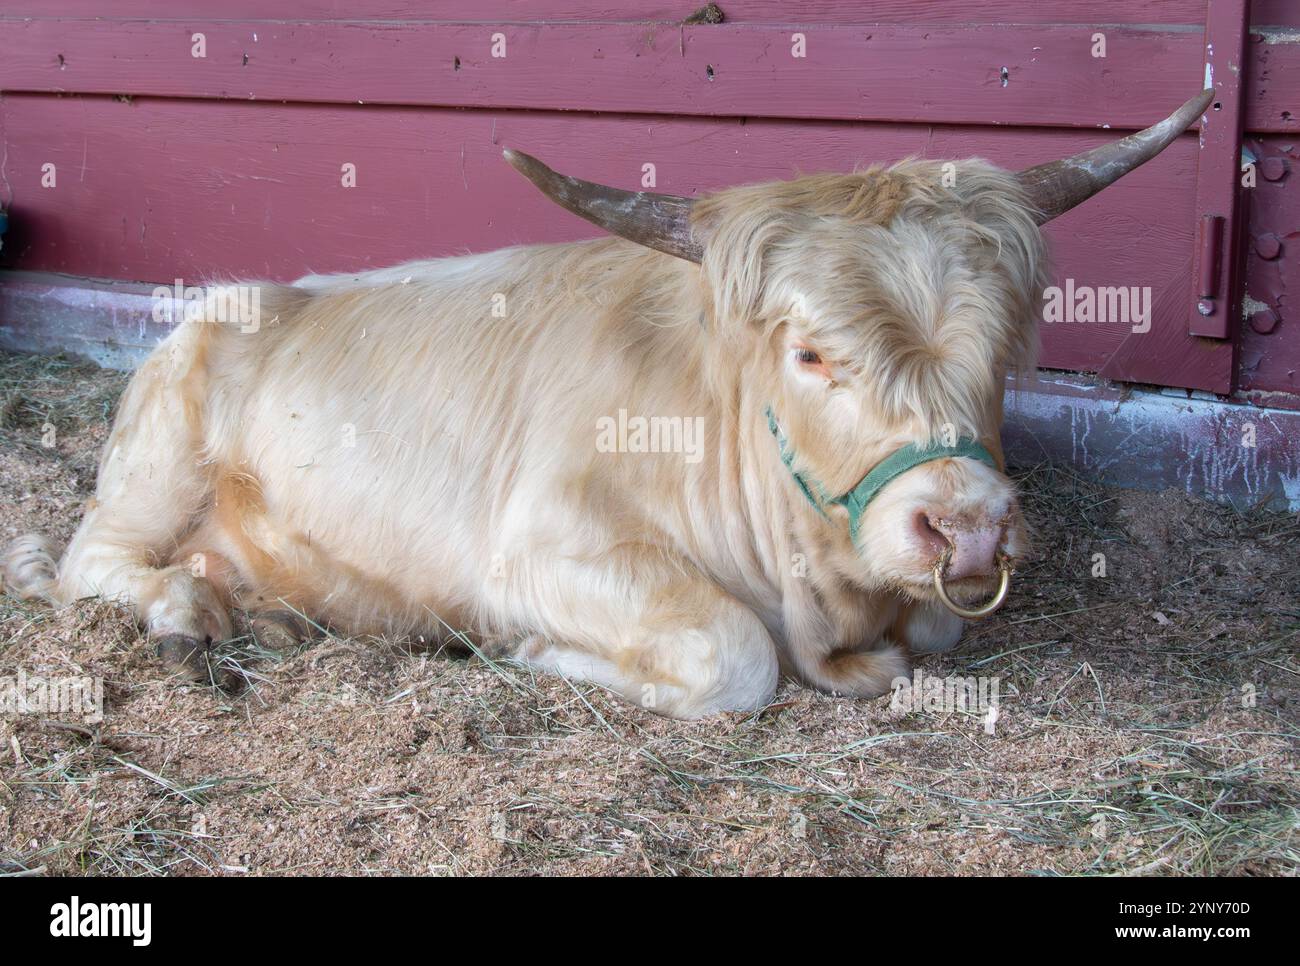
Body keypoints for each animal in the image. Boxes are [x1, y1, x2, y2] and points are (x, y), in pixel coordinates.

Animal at [2, 92, 1211, 718]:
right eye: (812, 353)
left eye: (1006, 348)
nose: (966, 527)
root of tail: (241, 296)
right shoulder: (537, 551)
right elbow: (734, 656)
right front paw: (538, 655)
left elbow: (932, 632)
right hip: (151, 477)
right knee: (90, 562)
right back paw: (185, 609)